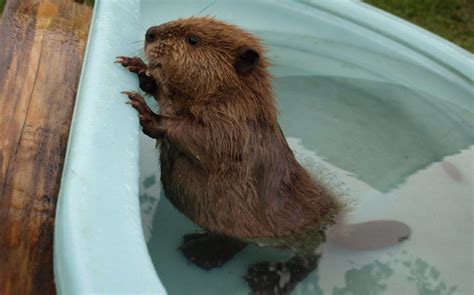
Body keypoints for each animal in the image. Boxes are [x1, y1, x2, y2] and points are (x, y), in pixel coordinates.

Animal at [115, 16, 344, 295]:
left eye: (193, 39)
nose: (150, 33)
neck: (235, 97)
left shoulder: (236, 127)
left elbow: (204, 138)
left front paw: (145, 111)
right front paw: (136, 67)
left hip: (298, 235)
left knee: (308, 259)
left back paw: (255, 274)